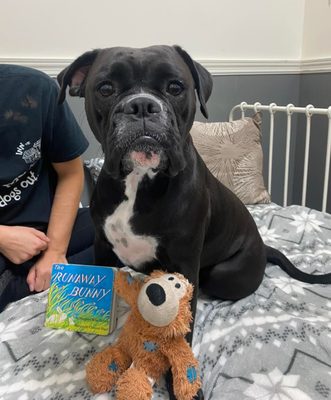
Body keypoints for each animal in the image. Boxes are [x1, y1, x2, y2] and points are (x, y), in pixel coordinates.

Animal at [57, 43, 331, 400]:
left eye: (175, 87)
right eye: (105, 88)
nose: (142, 105)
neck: (139, 181)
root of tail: (263, 247)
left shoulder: (183, 266)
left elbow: (179, 333)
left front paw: (181, 385)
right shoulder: (102, 249)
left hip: (223, 275)